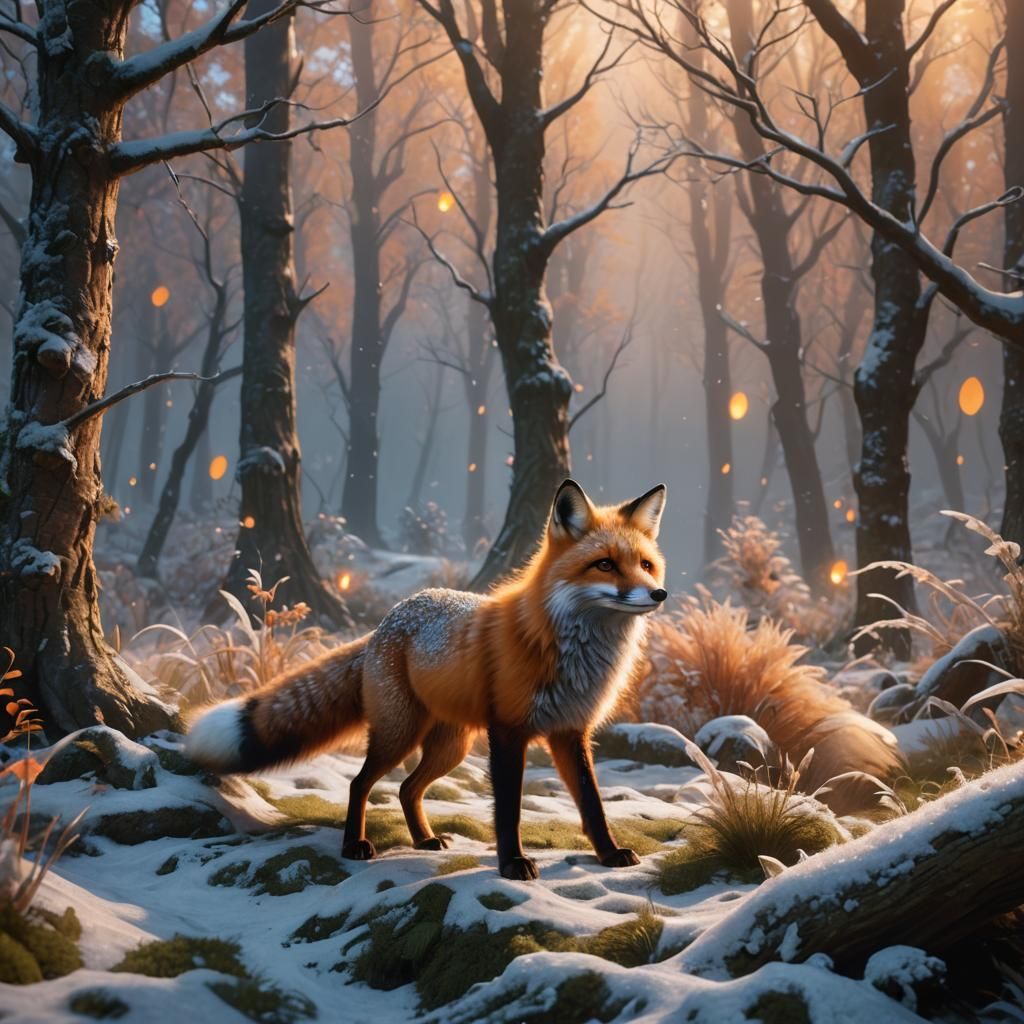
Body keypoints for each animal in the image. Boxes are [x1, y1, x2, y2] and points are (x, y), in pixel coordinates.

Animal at [186, 479, 669, 880]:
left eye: (646, 565)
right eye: (605, 565)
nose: (659, 593)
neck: (567, 650)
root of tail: (387, 620)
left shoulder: (570, 732)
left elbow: (592, 804)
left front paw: (609, 854)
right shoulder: (509, 732)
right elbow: (508, 810)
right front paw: (512, 864)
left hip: (450, 747)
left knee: (405, 788)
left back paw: (422, 839)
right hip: (399, 733)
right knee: (360, 783)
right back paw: (354, 845)